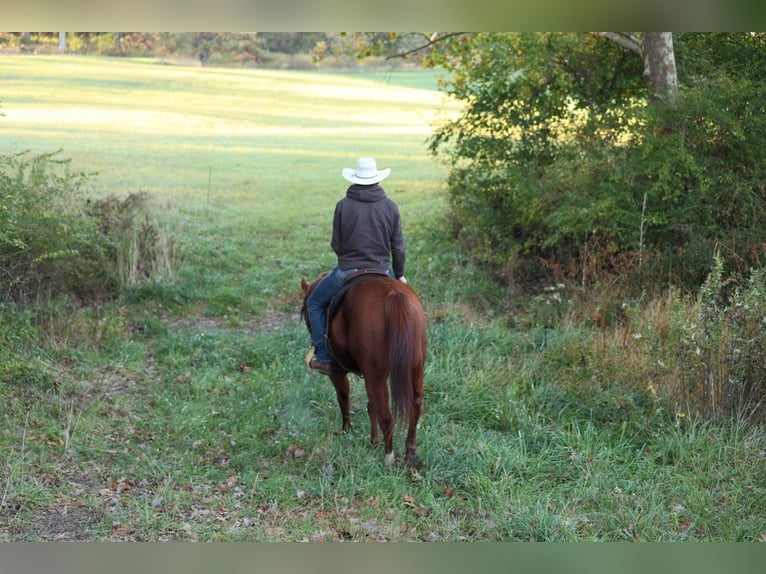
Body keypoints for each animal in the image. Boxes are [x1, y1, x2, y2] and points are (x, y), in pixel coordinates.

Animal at [300, 272, 427, 467]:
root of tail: (394, 295)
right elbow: (370, 406)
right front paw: (373, 441)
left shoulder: (337, 372)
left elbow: (343, 398)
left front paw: (346, 430)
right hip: (414, 368)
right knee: (415, 407)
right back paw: (410, 453)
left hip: (375, 375)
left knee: (386, 415)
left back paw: (388, 457)